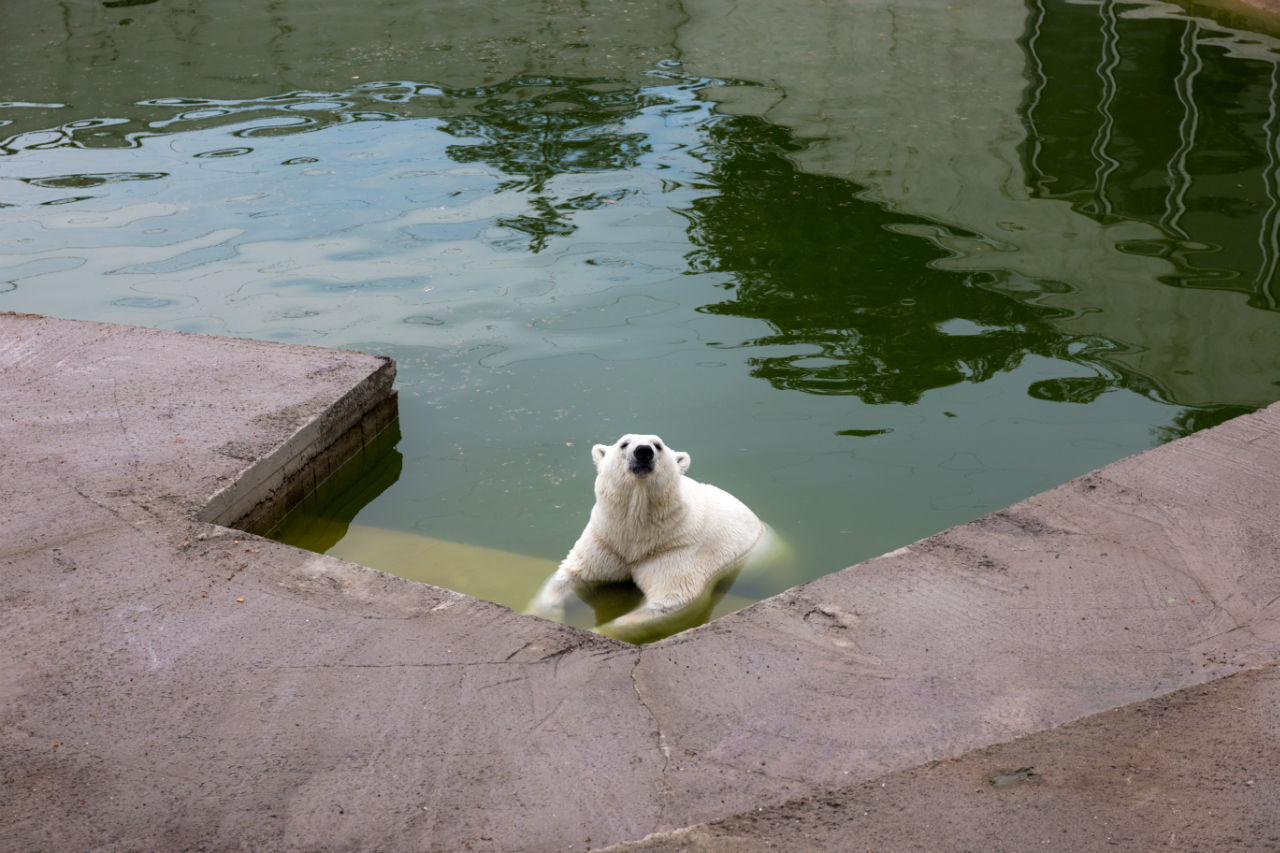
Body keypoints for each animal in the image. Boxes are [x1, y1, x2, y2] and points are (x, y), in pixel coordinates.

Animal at [529, 432, 768, 637]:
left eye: (658, 445)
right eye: (624, 443)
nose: (643, 451)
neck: (639, 533)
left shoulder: (676, 550)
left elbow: (668, 603)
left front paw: (595, 630)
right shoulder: (605, 541)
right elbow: (569, 576)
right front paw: (543, 615)